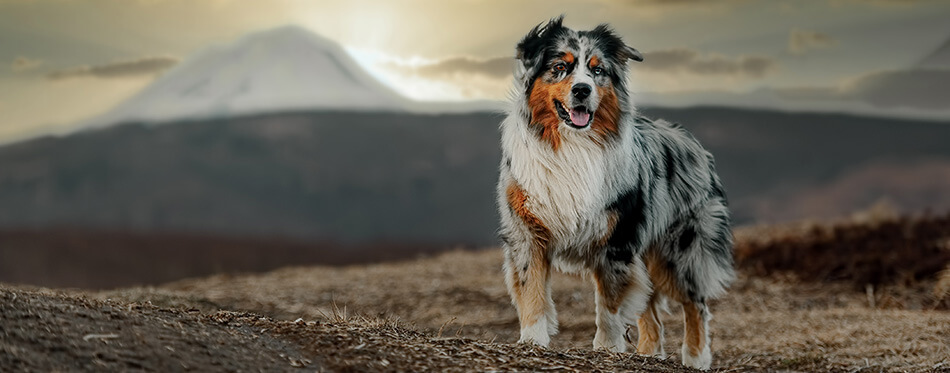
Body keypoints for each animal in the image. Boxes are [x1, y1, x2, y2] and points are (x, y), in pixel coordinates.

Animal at [498, 16, 736, 370]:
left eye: (598, 70)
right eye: (560, 67)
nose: (582, 90)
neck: (573, 145)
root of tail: (692, 141)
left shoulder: (616, 241)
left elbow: (609, 305)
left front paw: (607, 349)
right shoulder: (528, 232)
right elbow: (532, 292)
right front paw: (532, 341)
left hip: (678, 251)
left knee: (696, 304)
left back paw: (695, 358)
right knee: (651, 314)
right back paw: (648, 354)